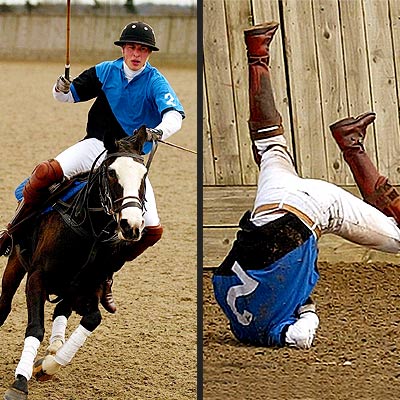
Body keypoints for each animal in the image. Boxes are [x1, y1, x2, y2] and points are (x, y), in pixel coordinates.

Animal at [0, 126, 155, 400]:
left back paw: (55, 346)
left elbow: (93, 319)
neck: (87, 229)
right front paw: (20, 382)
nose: (132, 225)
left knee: (61, 309)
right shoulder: (37, 277)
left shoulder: (87, 287)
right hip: (16, 261)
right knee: (4, 305)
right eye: (111, 173)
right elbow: (35, 328)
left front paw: (47, 366)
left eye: (143, 175)